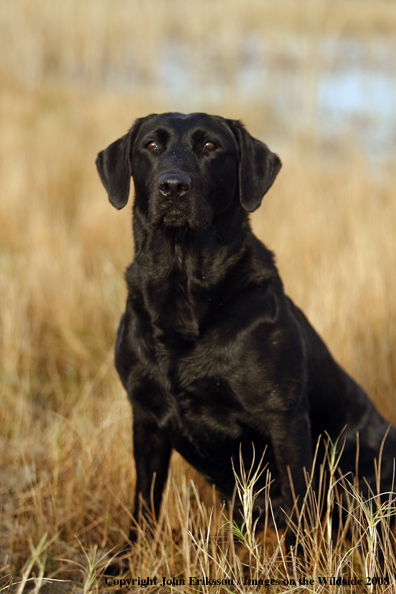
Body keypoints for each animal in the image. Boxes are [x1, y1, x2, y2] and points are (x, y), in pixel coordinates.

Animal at [96, 112, 396, 552]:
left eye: (210, 146)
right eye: (151, 145)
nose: (173, 186)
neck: (183, 291)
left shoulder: (285, 419)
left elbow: (301, 506)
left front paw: (301, 562)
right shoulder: (146, 417)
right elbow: (145, 502)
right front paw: (129, 558)